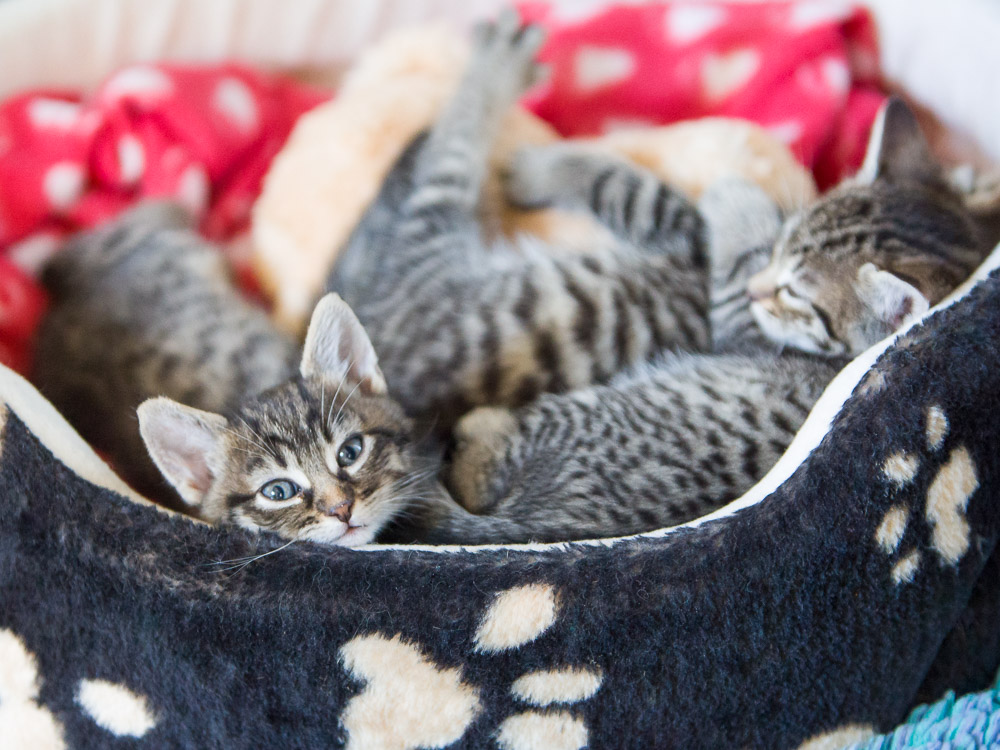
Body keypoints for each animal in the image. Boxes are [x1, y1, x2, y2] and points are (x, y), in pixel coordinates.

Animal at [328, 11, 712, 432]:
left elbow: (611, 182)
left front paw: (537, 172)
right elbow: (618, 183)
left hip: (424, 242)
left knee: (455, 137)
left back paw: (492, 67)